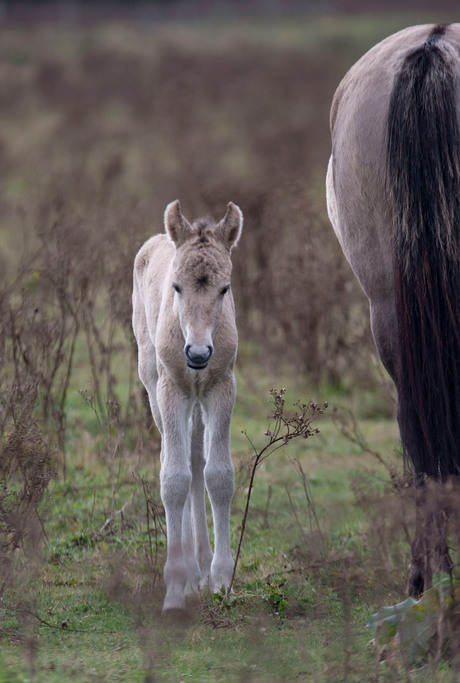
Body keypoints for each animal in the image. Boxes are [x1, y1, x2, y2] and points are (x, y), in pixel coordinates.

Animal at [131, 200, 243, 612]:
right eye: (176, 287)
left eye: (225, 289)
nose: (197, 354)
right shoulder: (172, 389)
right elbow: (174, 478)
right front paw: (174, 589)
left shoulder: (222, 387)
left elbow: (219, 476)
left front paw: (222, 579)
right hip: (153, 383)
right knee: (179, 458)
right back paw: (191, 572)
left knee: (197, 460)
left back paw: (201, 570)